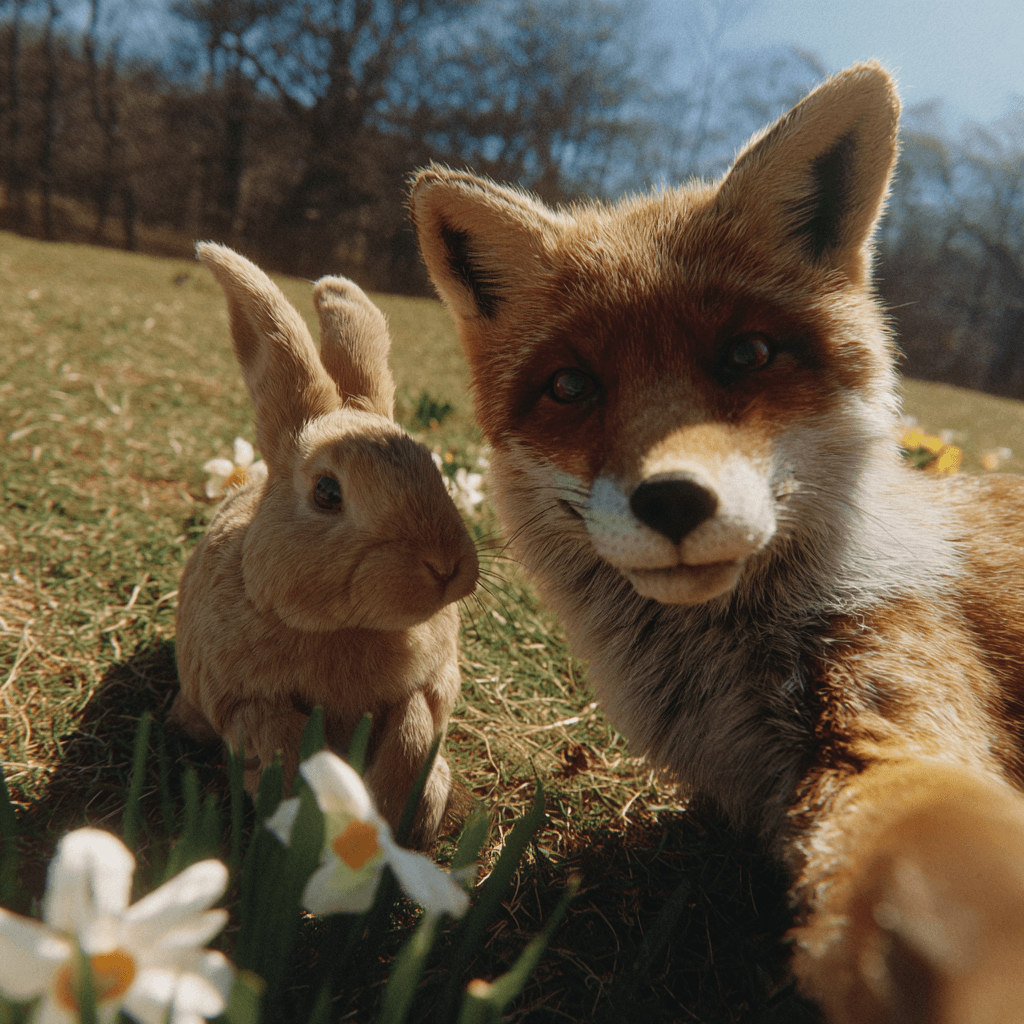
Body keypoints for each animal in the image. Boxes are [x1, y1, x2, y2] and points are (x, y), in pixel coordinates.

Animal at [170, 242, 479, 848]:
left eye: (432, 463)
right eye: (327, 492)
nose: (446, 565)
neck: (347, 629)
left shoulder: (429, 685)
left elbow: (414, 727)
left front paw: (393, 809)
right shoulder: (244, 698)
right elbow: (281, 740)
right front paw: (311, 813)